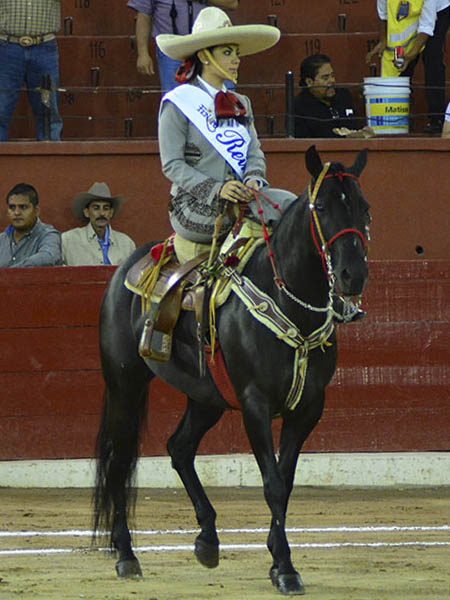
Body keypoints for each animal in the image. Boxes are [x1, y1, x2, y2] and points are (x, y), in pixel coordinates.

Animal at [93, 146, 370, 596]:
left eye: (364, 207)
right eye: (323, 207)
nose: (353, 275)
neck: (289, 299)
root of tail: (123, 271)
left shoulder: (308, 408)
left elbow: (285, 483)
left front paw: (276, 559)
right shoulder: (255, 404)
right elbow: (272, 483)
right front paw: (286, 568)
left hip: (207, 396)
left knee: (179, 447)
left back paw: (207, 540)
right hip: (125, 385)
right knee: (119, 463)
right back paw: (126, 555)